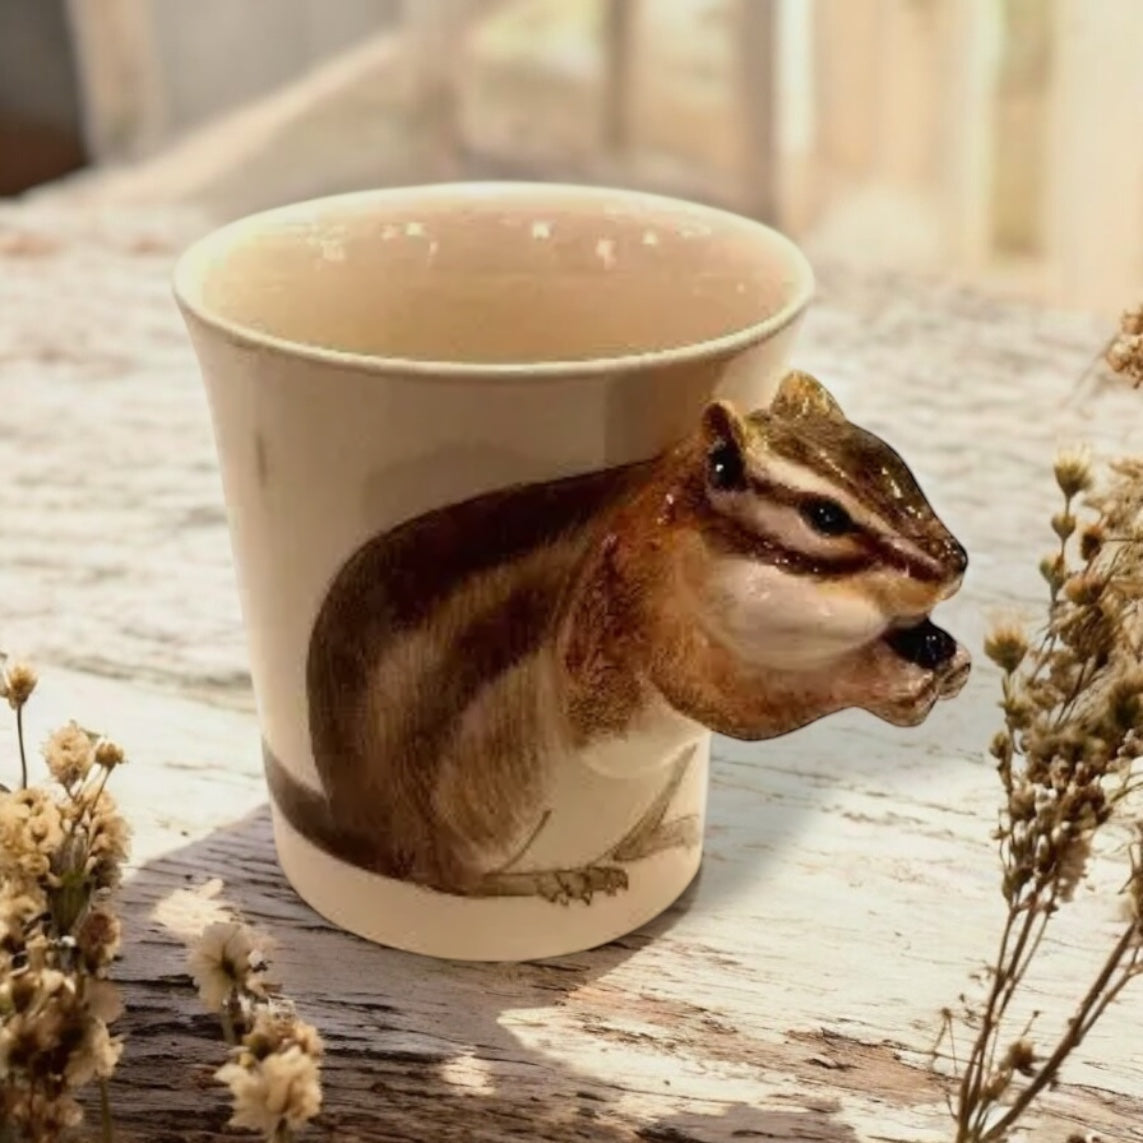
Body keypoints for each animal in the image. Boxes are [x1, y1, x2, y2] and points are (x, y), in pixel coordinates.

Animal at [263, 370, 971, 905]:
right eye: (825, 516)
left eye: (895, 464)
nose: (954, 562)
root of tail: (370, 833)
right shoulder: (648, 625)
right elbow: (735, 702)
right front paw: (882, 679)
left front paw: (951, 659)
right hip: (488, 806)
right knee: (450, 879)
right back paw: (550, 878)